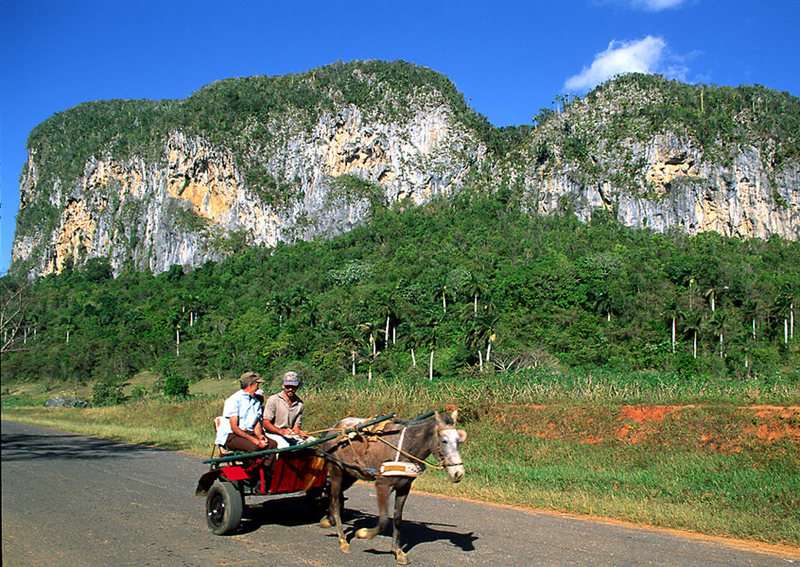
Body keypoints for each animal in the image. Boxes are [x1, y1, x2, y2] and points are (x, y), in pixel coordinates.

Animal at [318, 410, 466, 564]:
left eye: (458, 441)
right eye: (444, 441)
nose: (458, 473)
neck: (406, 446)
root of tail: (333, 428)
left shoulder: (404, 487)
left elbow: (397, 519)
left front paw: (398, 551)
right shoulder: (382, 484)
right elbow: (384, 521)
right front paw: (364, 533)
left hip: (350, 474)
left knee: (333, 495)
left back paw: (328, 520)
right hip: (336, 470)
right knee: (336, 500)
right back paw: (342, 540)